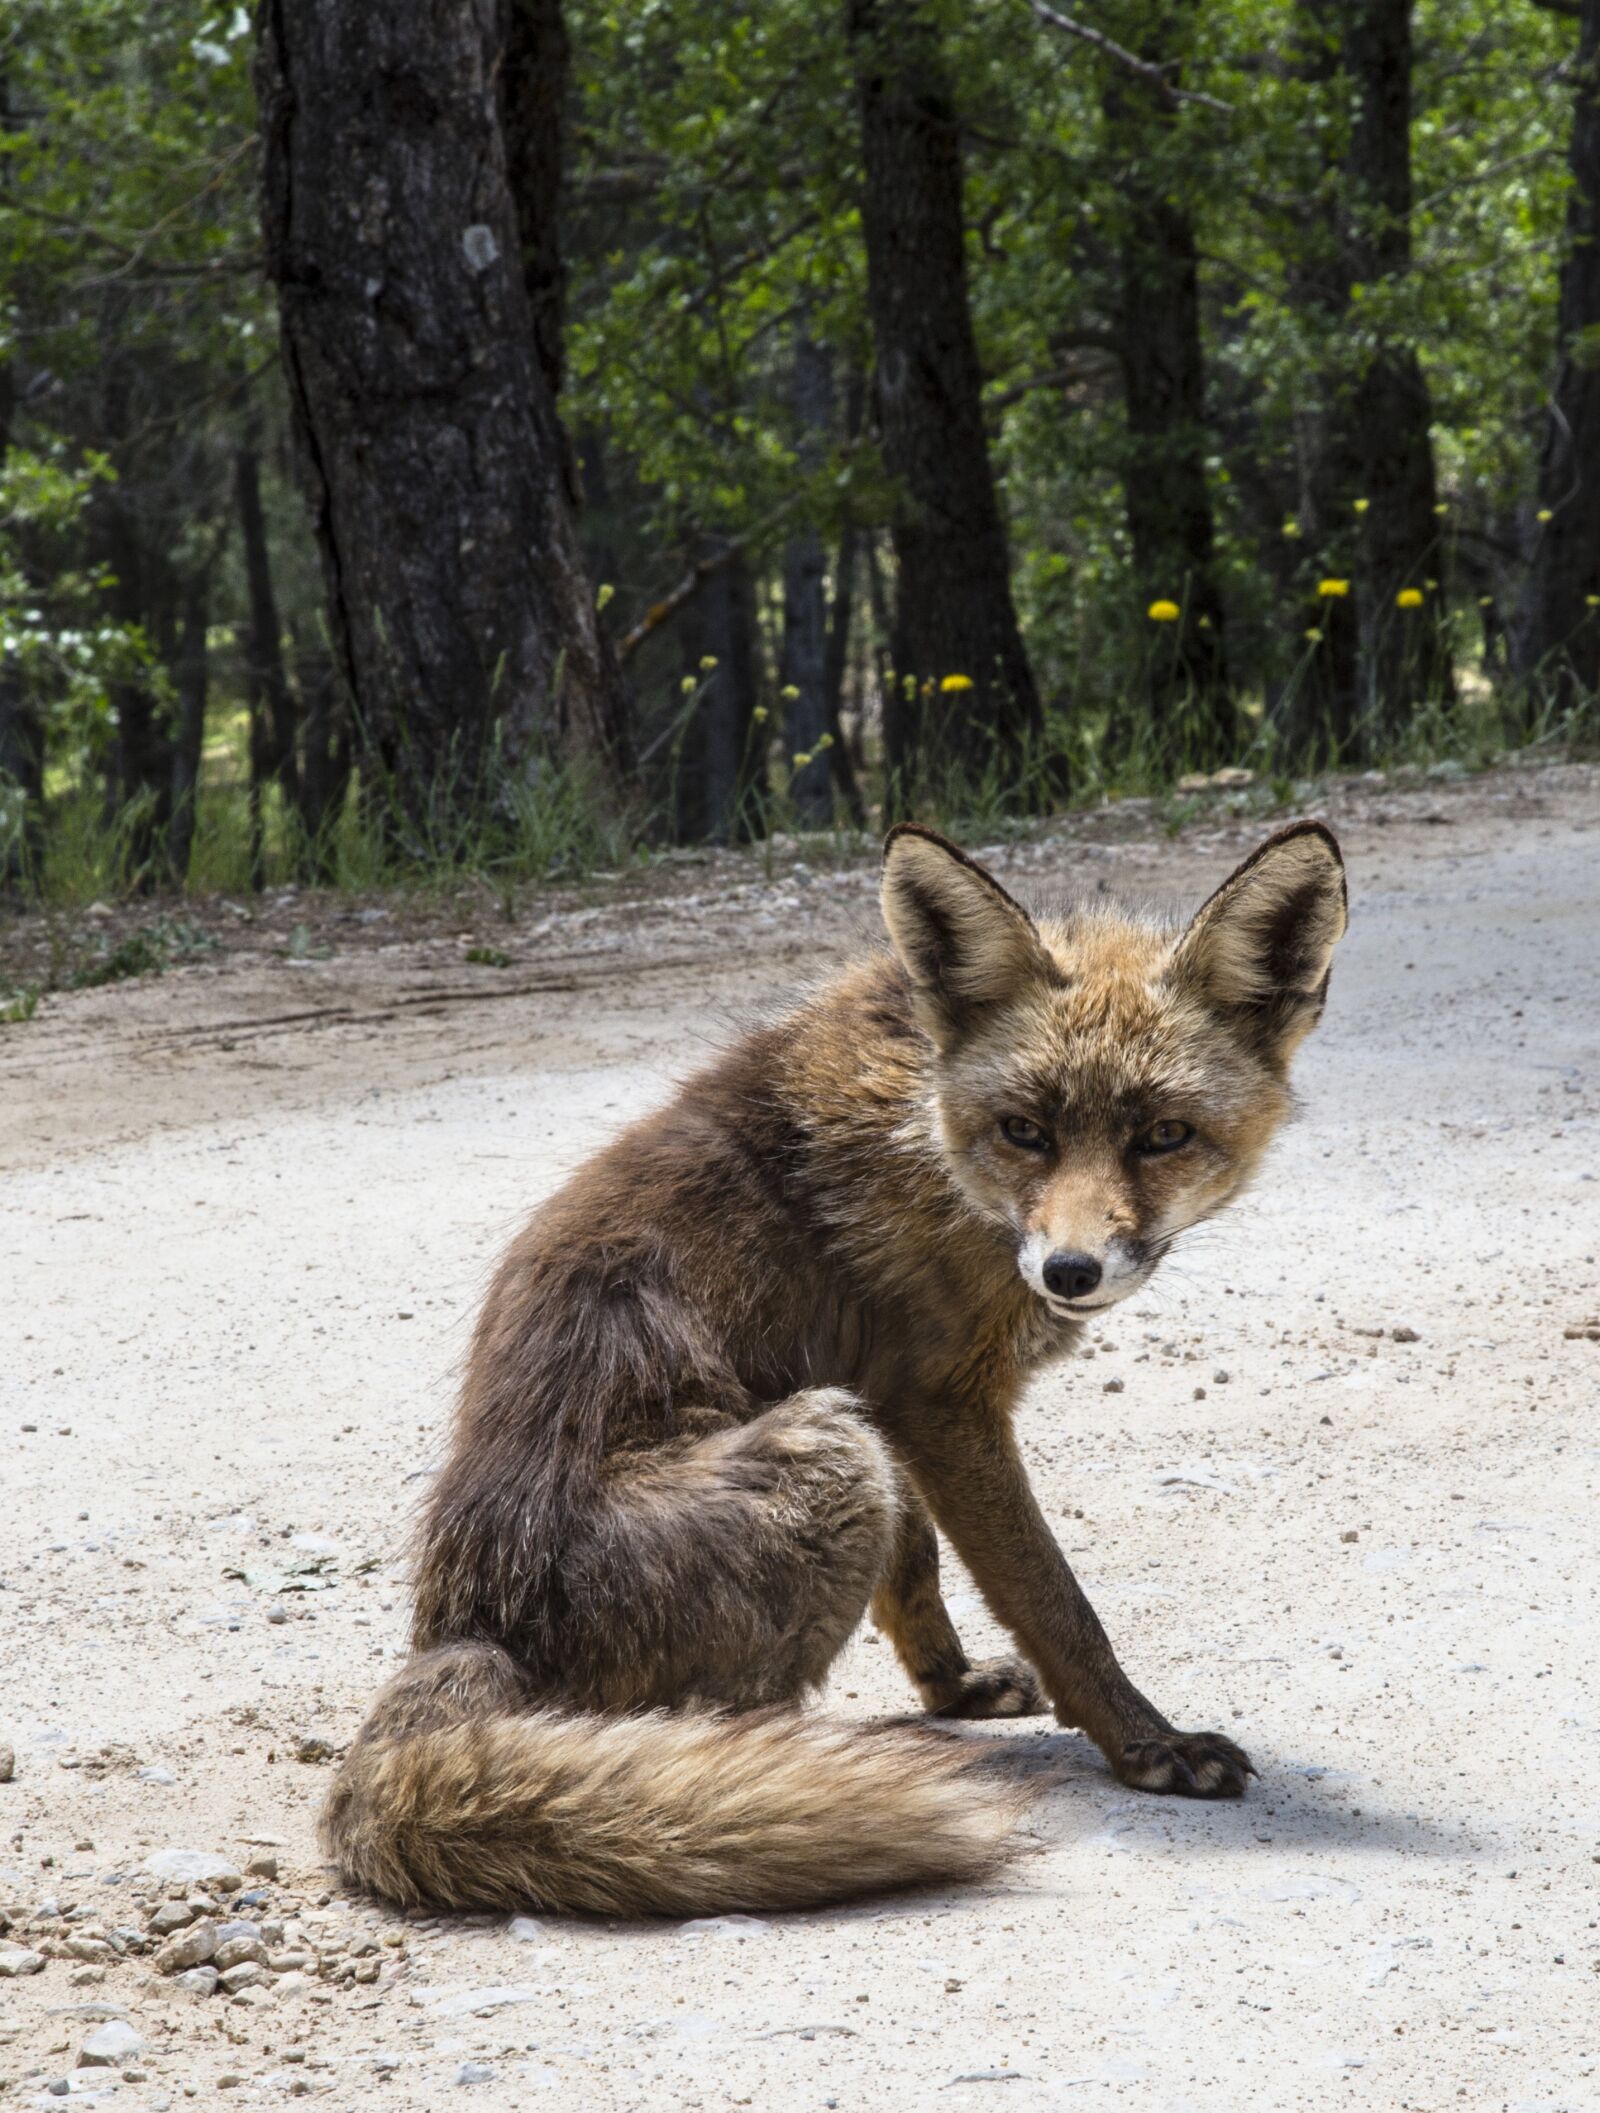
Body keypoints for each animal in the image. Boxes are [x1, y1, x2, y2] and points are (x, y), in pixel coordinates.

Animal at [322, 818, 1348, 1917]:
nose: (1068, 1270)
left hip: (842, 1439)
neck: (930, 1129)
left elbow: (919, 1569)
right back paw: (752, 1789)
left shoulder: (896, 1403)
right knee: (706, 1725)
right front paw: (1146, 1746)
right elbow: (1056, 1603)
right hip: (828, 1451)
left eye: (1162, 1136)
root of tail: (463, 1625)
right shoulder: (940, 1405)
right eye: (1025, 1130)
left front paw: (951, 1687)